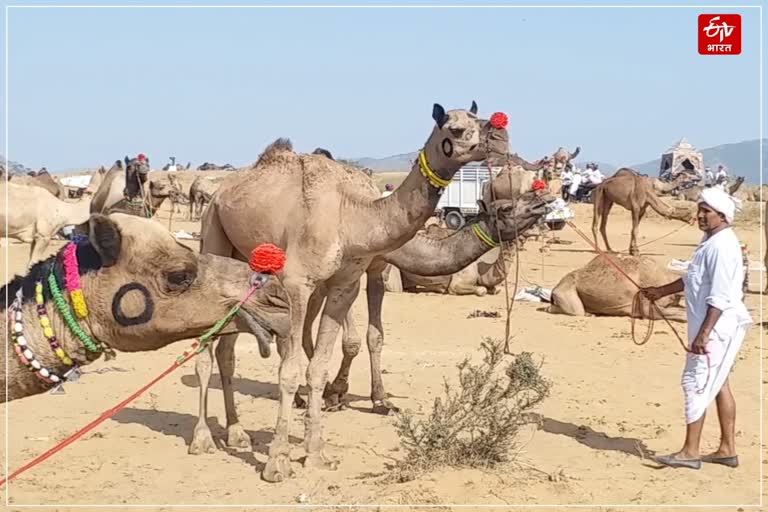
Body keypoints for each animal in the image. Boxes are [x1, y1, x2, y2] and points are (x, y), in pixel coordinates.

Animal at [195, 103, 510, 480]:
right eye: (457, 128)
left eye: (481, 118)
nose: (500, 135)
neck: (351, 216)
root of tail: (220, 192)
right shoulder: (297, 283)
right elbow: (289, 371)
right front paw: (277, 463)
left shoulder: (344, 285)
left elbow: (317, 369)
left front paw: (316, 454)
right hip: (213, 229)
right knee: (206, 348)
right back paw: (202, 439)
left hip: (242, 258)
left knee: (226, 350)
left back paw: (237, 432)